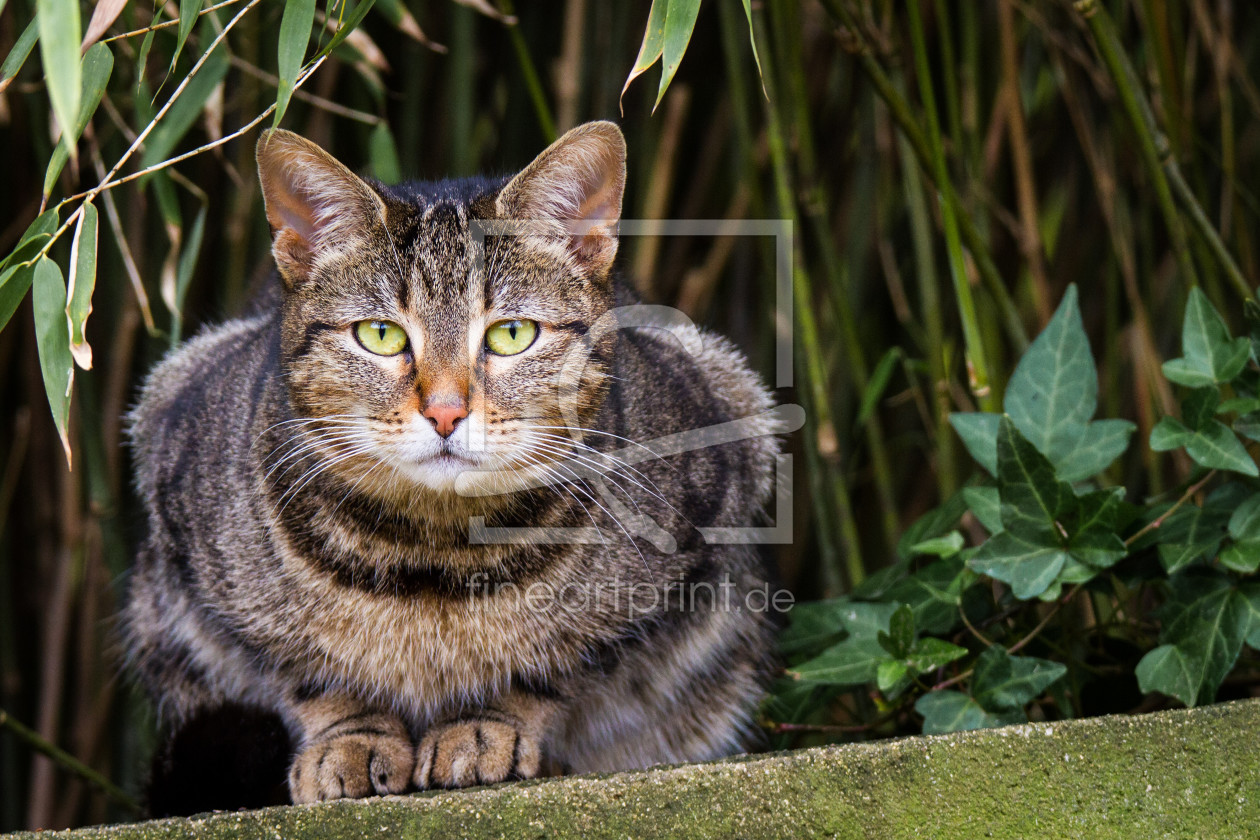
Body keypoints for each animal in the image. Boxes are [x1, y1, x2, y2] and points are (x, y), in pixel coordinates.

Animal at [122, 119, 781, 805]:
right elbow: (308, 669)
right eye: (380, 335)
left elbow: (551, 662)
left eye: (512, 334)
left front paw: (486, 725)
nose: (444, 412)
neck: (434, 554)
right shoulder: (193, 513)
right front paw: (350, 737)